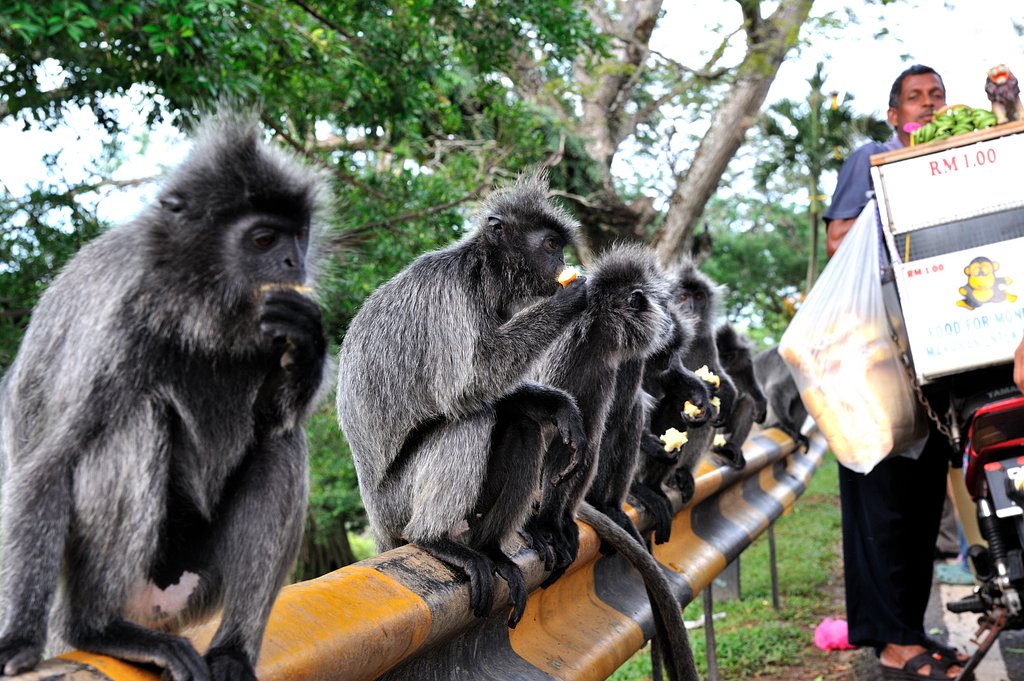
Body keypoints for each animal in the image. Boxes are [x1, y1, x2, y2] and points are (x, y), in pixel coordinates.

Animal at [0, 112, 330, 681]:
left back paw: (231, 651)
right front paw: (17, 641)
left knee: (282, 442)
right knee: (134, 420)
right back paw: (98, 630)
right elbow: (47, 463)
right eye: (264, 239)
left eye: (299, 236)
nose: (294, 263)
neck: (194, 308)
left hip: (198, 581)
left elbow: (271, 419)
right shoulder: (114, 319)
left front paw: (308, 342)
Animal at [335, 171, 588, 629]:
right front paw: (570, 299)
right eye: (549, 245)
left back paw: (489, 550)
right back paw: (433, 539)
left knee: (519, 423)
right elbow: (467, 385)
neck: (483, 273)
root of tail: (377, 521)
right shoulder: (449, 294)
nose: (561, 262)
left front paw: (560, 407)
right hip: (397, 503)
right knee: (471, 417)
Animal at [710, 323, 768, 469]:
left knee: (748, 401)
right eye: (719, 355)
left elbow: (752, 386)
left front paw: (762, 404)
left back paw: (731, 448)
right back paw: (716, 450)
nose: (722, 363)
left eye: (729, 356)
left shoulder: (746, 361)